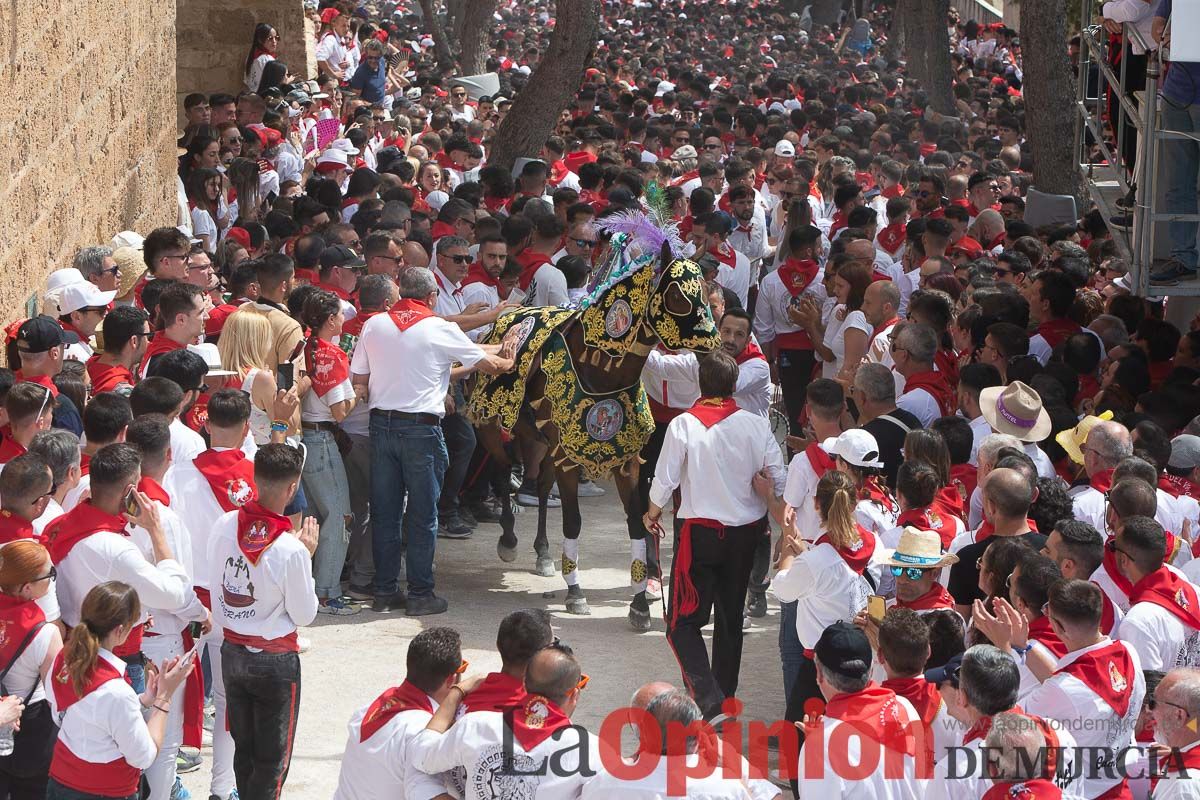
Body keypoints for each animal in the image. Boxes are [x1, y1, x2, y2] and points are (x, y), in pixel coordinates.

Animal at [463, 208, 715, 633]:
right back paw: (510, 541)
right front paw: (576, 592)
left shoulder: (623, 461)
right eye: (679, 296)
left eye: (705, 289)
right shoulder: (570, 460)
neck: (598, 367)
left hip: (541, 442)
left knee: (539, 484)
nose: (715, 342)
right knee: (500, 473)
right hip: (492, 428)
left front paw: (639, 606)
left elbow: (636, 525)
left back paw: (543, 553)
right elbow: (574, 523)